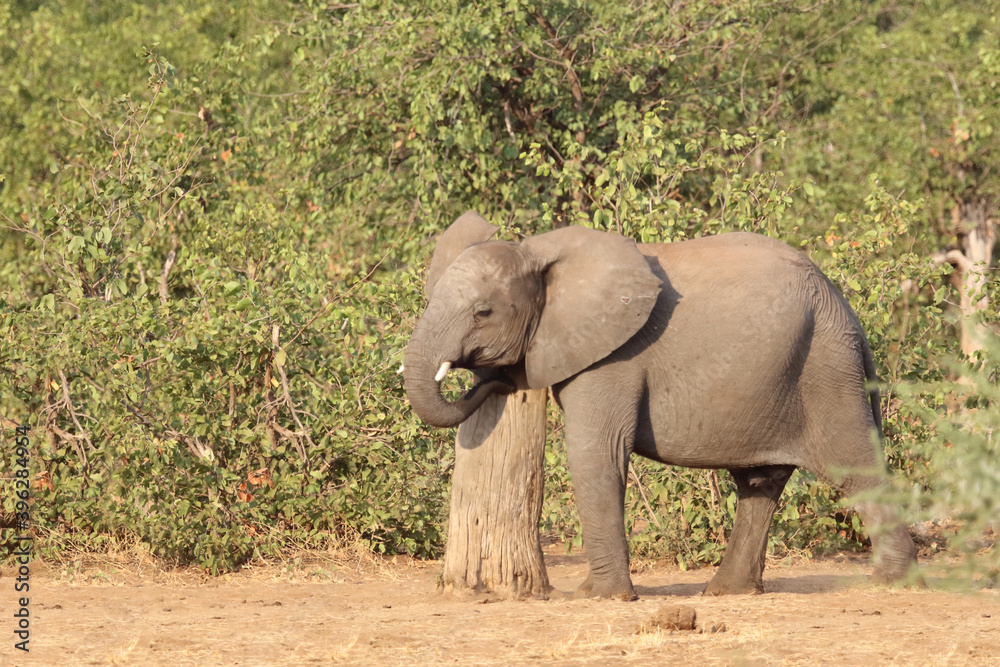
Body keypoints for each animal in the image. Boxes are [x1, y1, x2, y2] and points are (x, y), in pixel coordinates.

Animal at [402, 211, 916, 596]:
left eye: (482, 312)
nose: (495, 381)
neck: (538, 254)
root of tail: (849, 311)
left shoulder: (613, 357)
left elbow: (595, 453)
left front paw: (598, 597)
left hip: (826, 369)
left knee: (855, 467)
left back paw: (892, 582)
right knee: (760, 482)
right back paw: (726, 591)